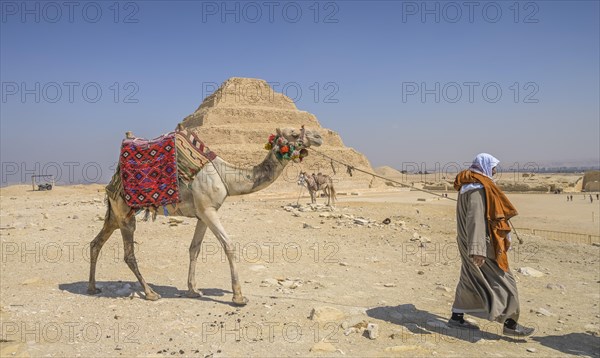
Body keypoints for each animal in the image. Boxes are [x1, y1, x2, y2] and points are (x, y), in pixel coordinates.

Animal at [86, 126, 322, 304]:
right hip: (125, 213)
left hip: (114, 215)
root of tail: (113, 181)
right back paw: (151, 293)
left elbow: (194, 249)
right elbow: (228, 245)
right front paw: (238, 296)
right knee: (128, 254)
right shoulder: (208, 210)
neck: (227, 178)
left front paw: (193, 290)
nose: (319, 136)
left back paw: (92, 287)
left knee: (96, 243)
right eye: (294, 133)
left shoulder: (202, 214)